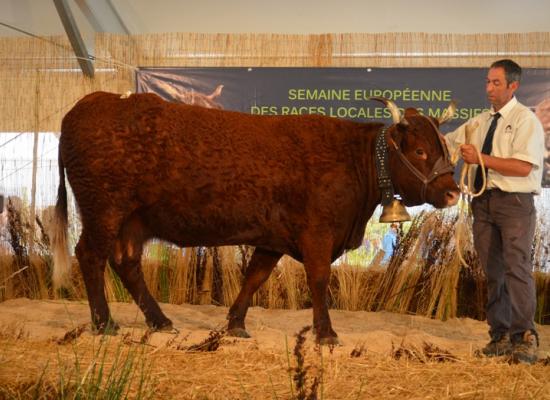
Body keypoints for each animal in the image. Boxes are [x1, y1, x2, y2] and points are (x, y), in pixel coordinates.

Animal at [52, 90, 462, 344]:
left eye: (444, 146)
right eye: (421, 151)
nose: (453, 192)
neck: (354, 160)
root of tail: (89, 102)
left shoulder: (273, 238)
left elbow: (254, 277)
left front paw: (235, 325)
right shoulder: (317, 234)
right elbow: (318, 280)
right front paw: (326, 333)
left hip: (131, 221)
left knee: (127, 263)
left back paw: (161, 322)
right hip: (104, 210)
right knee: (90, 256)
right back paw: (104, 323)